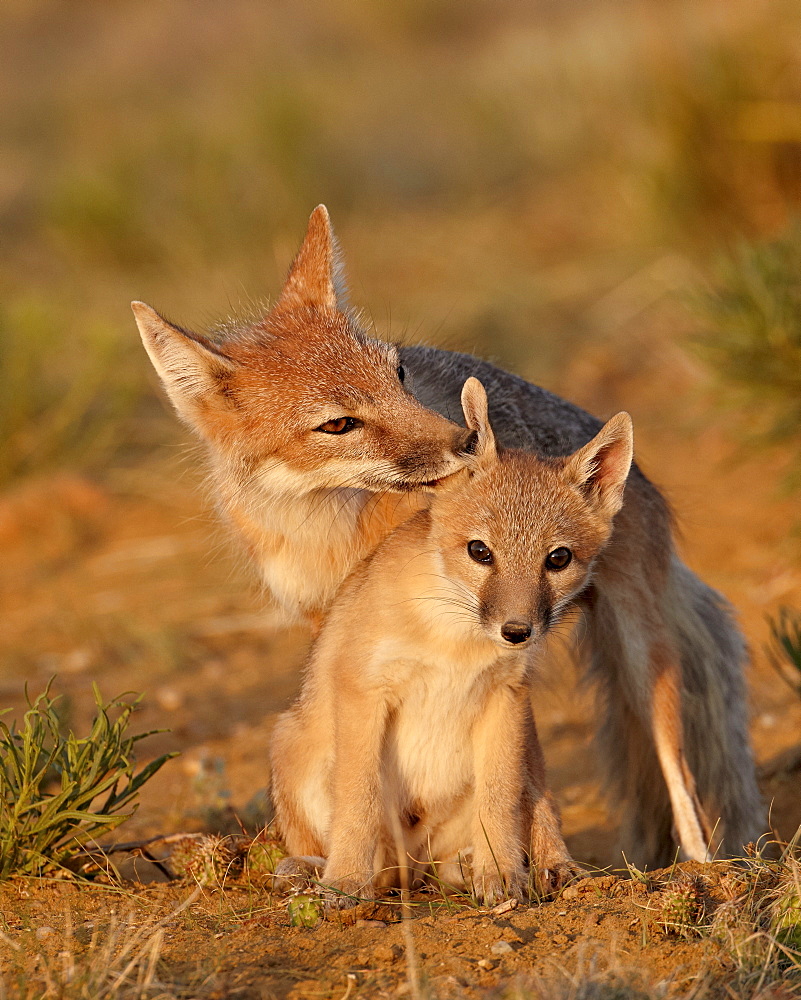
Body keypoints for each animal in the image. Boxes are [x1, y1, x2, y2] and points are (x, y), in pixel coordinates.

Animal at [136, 205, 764, 868]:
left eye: (399, 372)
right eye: (338, 424)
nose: (469, 440)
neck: (333, 530)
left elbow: (526, 766)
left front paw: (546, 862)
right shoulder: (338, 628)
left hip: (646, 658)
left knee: (678, 773)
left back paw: (700, 867)